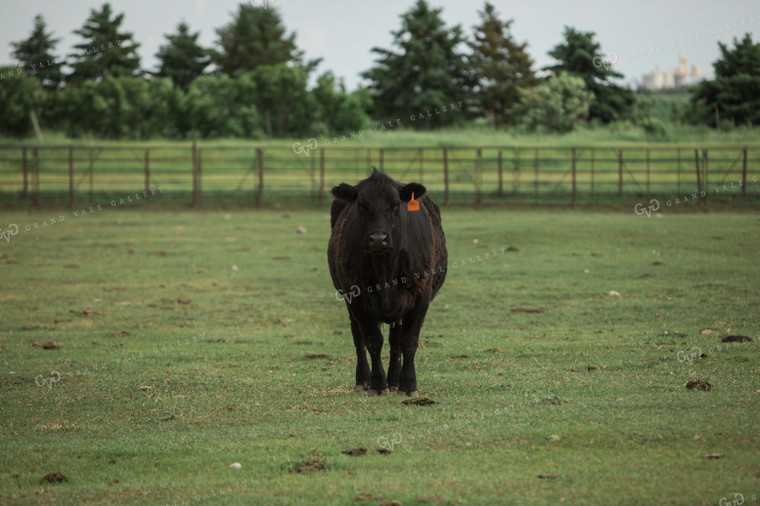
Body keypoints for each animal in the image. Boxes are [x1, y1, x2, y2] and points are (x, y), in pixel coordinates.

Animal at [326, 172, 446, 398]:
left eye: (395, 205)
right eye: (362, 205)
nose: (378, 239)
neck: (385, 269)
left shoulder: (420, 295)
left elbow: (408, 341)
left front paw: (409, 385)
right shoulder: (357, 297)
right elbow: (372, 340)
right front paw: (377, 384)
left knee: (395, 340)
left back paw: (395, 381)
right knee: (358, 336)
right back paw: (363, 380)